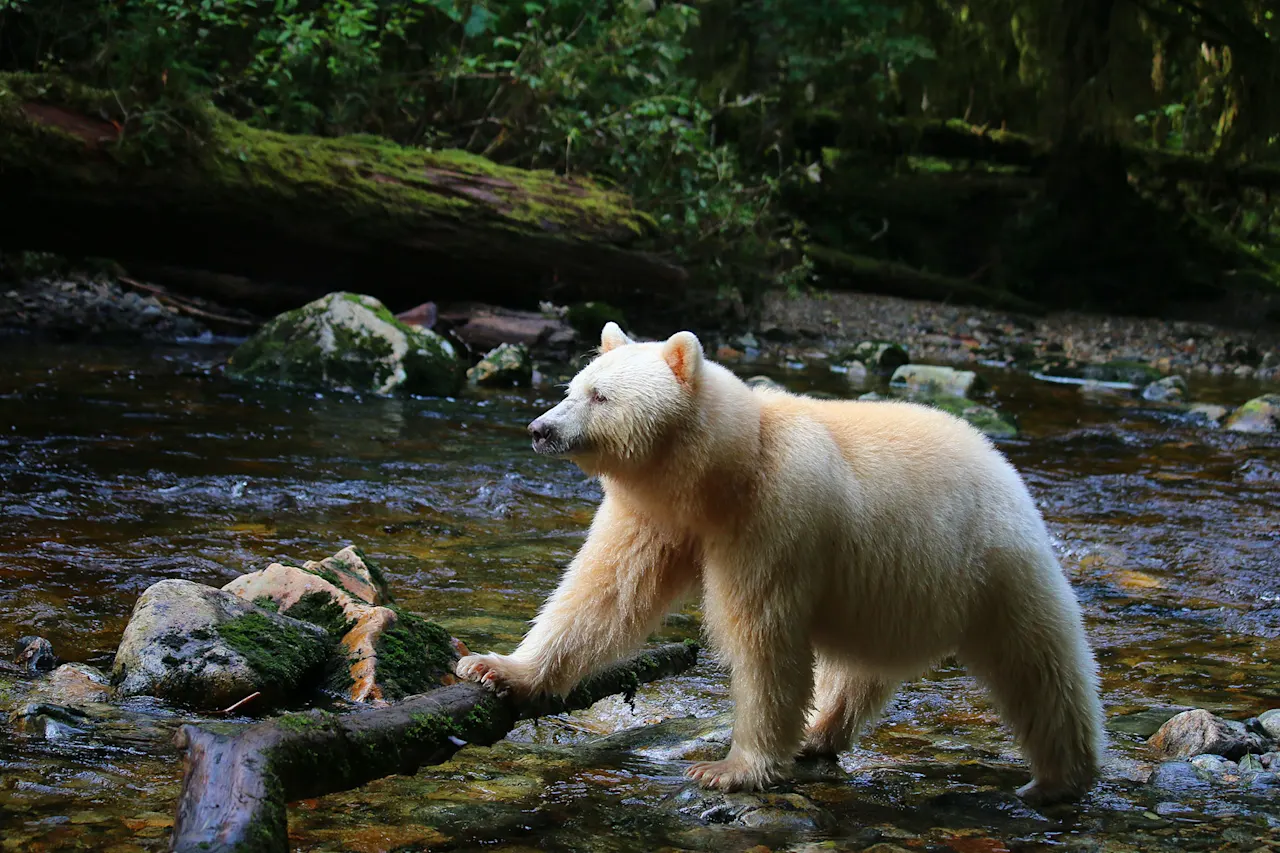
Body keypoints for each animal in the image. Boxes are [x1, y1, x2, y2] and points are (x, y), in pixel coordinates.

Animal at [456, 323, 1104, 802]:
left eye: (600, 395)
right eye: (573, 386)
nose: (540, 428)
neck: (724, 471)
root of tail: (1003, 463)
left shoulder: (776, 518)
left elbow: (763, 636)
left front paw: (730, 768)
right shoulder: (657, 517)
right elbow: (603, 593)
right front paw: (494, 667)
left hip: (995, 563)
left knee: (1041, 665)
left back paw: (1060, 778)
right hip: (897, 591)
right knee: (860, 672)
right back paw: (820, 734)